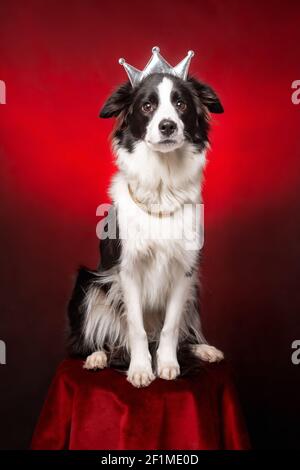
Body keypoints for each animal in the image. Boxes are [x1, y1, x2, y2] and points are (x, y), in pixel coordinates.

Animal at [67, 70, 223, 386]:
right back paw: (97, 357)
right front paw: (140, 369)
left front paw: (166, 364)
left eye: (181, 104)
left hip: (193, 292)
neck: (162, 186)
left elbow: (171, 327)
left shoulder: (185, 270)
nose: (167, 126)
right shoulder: (128, 269)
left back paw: (204, 349)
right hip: (89, 283)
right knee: (92, 340)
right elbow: (135, 327)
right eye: (147, 106)